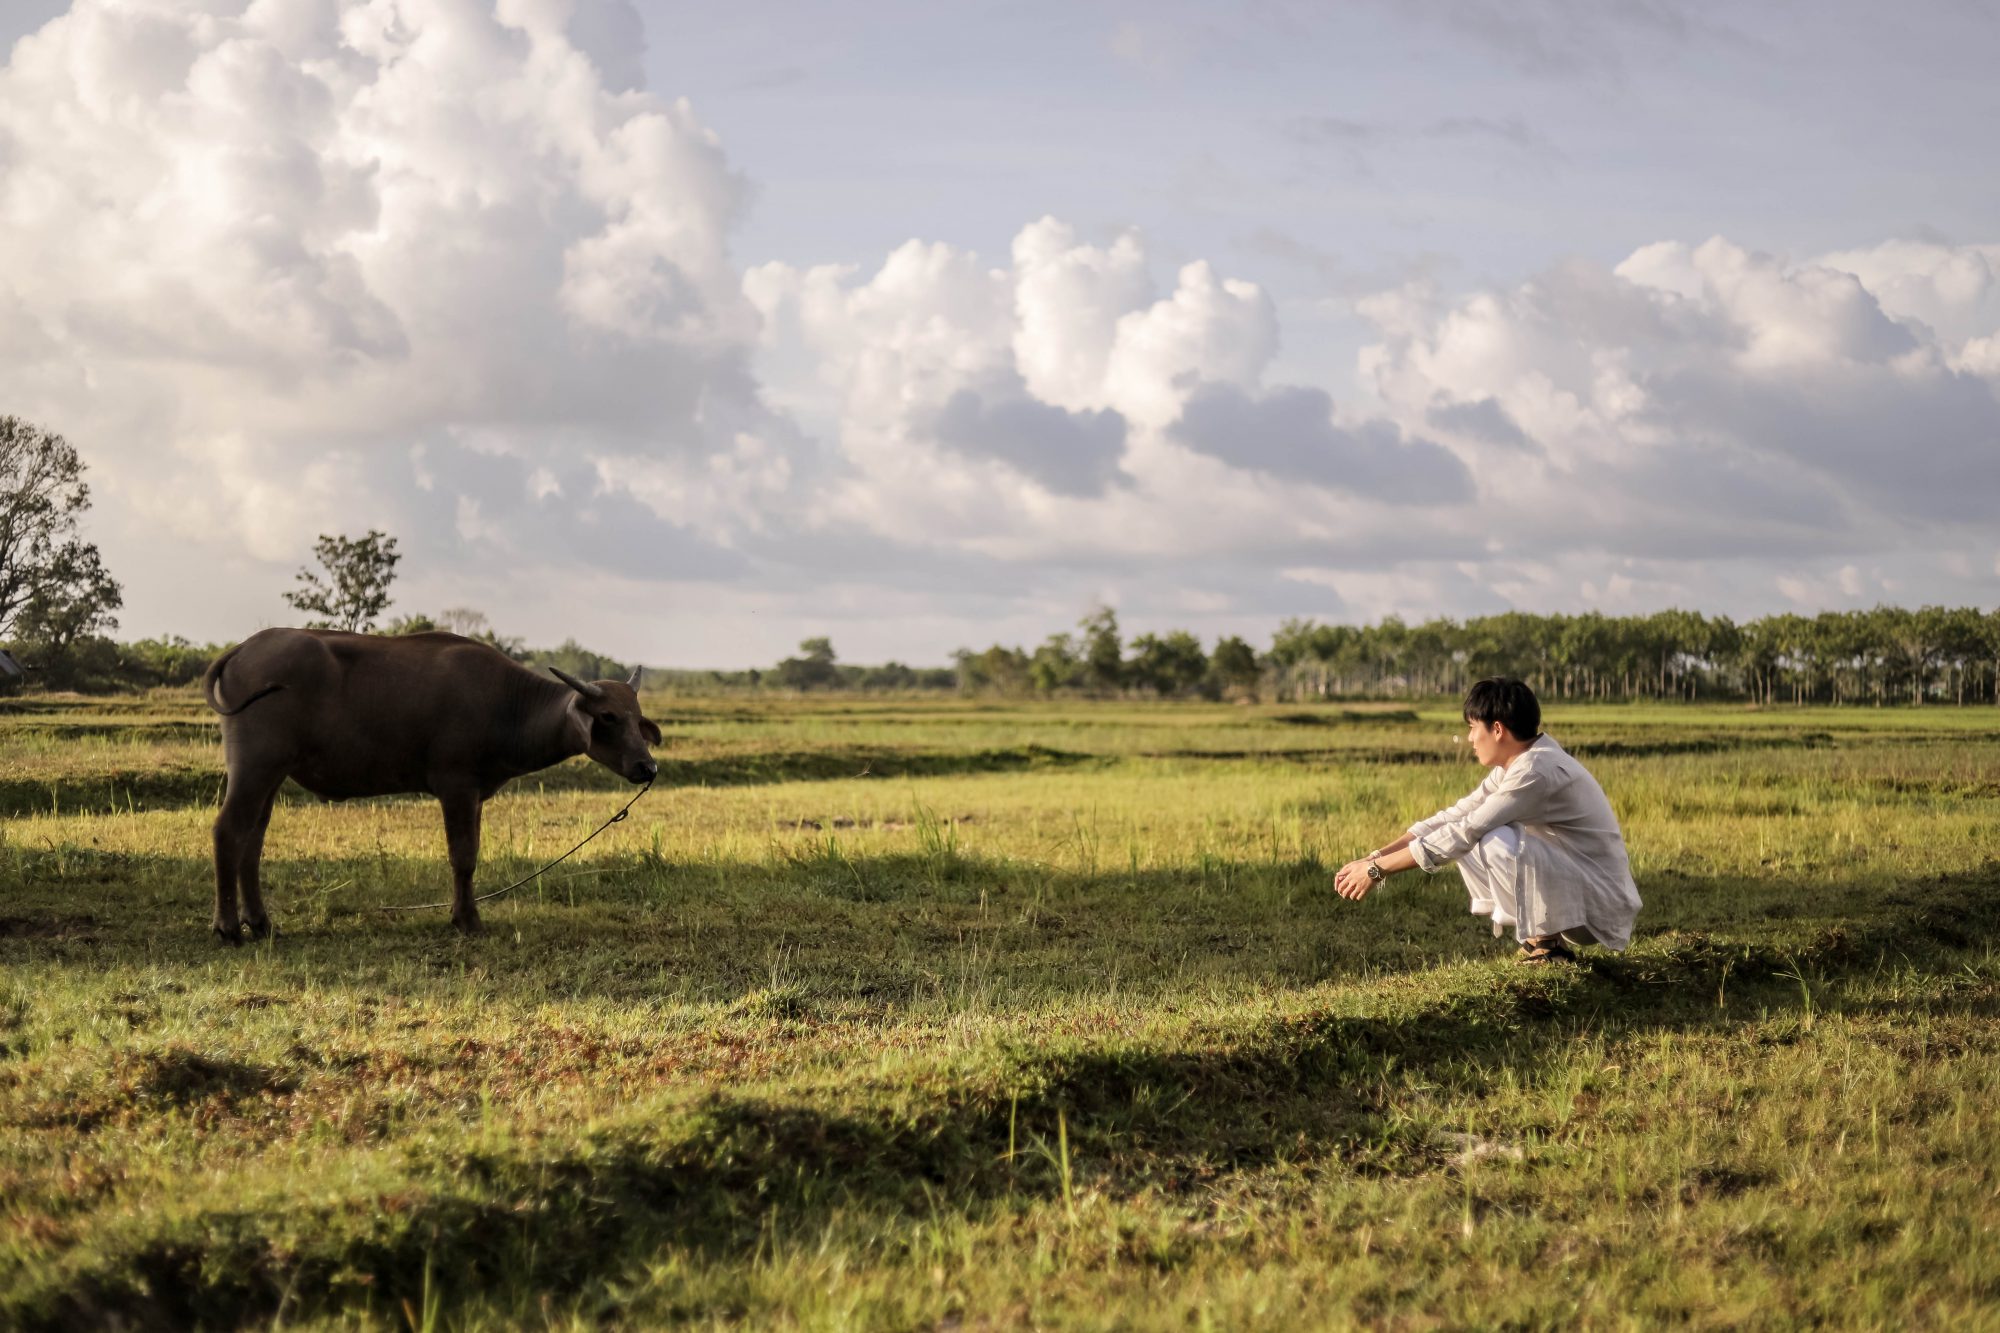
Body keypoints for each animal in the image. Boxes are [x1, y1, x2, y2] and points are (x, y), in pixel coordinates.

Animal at [202, 632, 660, 932]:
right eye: (607, 717)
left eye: (637, 718)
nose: (647, 768)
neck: (506, 704)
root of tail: (244, 647)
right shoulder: (455, 786)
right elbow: (463, 855)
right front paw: (467, 920)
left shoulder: (475, 794)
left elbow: (471, 853)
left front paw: (463, 913)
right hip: (255, 766)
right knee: (228, 830)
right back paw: (228, 927)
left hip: (271, 773)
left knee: (253, 838)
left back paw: (260, 922)